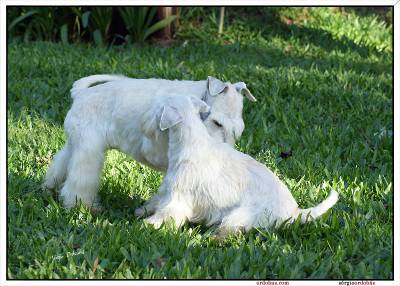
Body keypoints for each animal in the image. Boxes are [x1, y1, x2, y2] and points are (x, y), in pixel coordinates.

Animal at [43, 73, 256, 209]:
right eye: (217, 123)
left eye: (238, 131)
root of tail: (80, 93)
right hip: (88, 150)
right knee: (80, 181)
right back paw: (83, 206)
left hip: (76, 144)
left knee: (61, 163)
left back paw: (48, 187)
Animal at [143, 96, 338, 235]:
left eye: (158, 108)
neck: (191, 140)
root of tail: (295, 213)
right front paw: (142, 211)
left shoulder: (178, 197)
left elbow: (166, 214)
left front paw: (148, 225)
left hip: (242, 215)